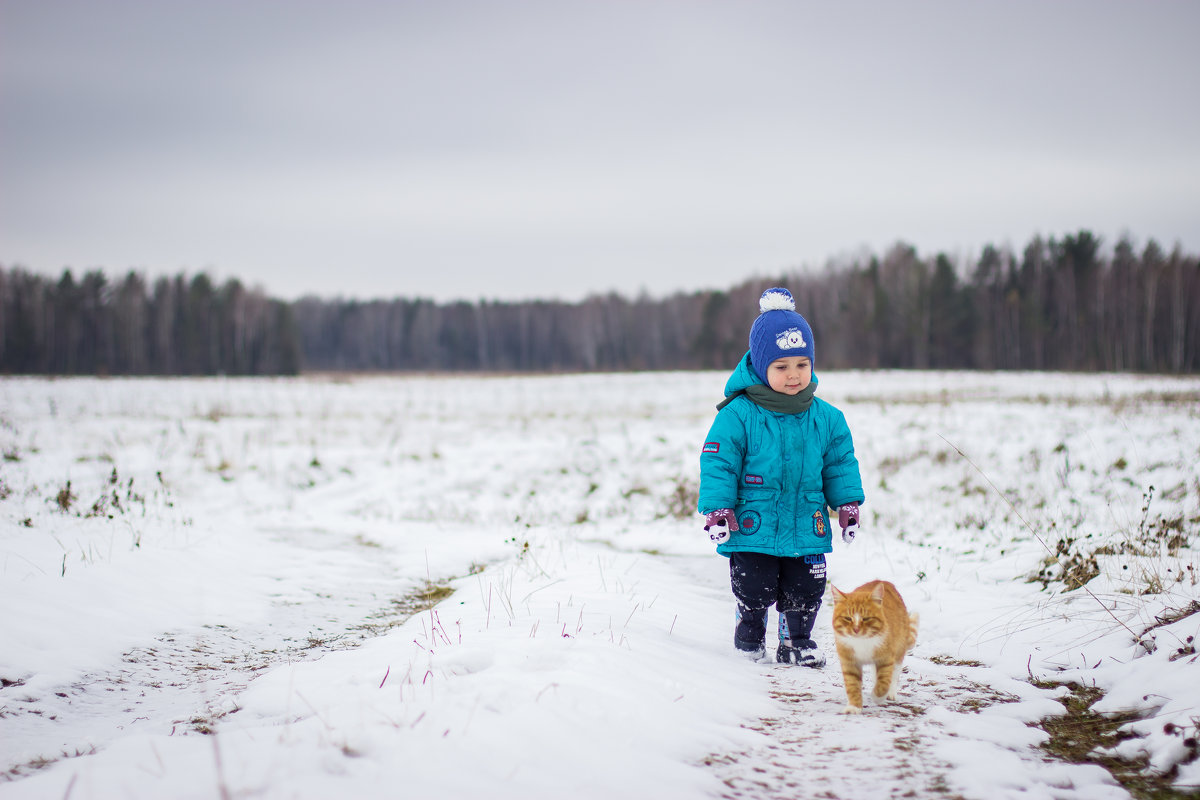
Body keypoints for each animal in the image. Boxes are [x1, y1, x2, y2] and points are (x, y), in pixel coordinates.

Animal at [835, 578, 916, 714]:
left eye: (866, 618)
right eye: (848, 618)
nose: (856, 629)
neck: (862, 642)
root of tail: (882, 580)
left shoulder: (886, 659)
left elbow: (884, 682)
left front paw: (878, 696)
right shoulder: (849, 661)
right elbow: (852, 685)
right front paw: (854, 707)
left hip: (898, 651)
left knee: (894, 674)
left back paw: (890, 693)